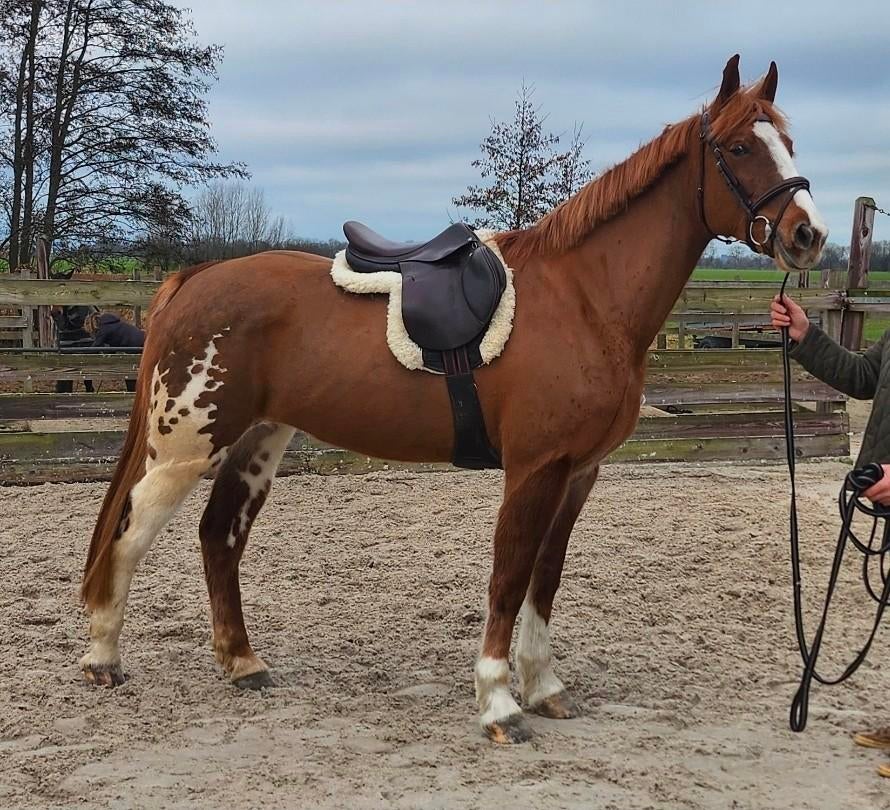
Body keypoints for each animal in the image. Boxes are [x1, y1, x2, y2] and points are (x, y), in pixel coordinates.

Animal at [79, 55, 827, 744]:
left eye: (791, 142)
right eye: (739, 147)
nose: (807, 235)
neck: (584, 299)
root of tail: (197, 278)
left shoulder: (577, 473)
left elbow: (545, 577)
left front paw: (543, 686)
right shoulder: (533, 469)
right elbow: (508, 577)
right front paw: (499, 703)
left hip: (258, 439)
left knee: (219, 536)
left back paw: (243, 664)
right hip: (184, 446)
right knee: (128, 535)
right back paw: (103, 658)